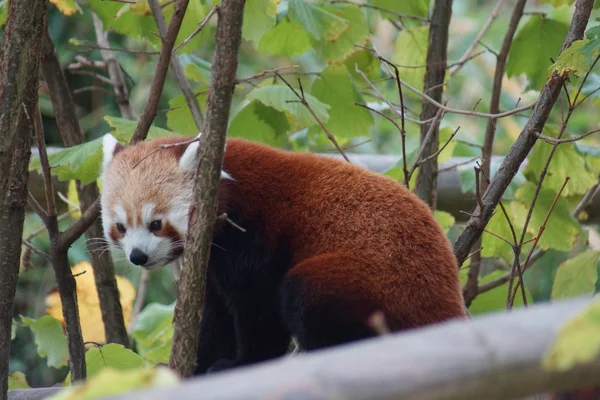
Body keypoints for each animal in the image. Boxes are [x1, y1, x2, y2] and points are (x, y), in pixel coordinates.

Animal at [101, 134, 466, 372]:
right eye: (120, 226)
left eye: (156, 223)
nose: (138, 256)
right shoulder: (211, 263)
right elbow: (214, 312)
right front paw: (195, 365)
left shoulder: (255, 237)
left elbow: (259, 308)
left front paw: (243, 363)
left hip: (375, 281)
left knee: (302, 293)